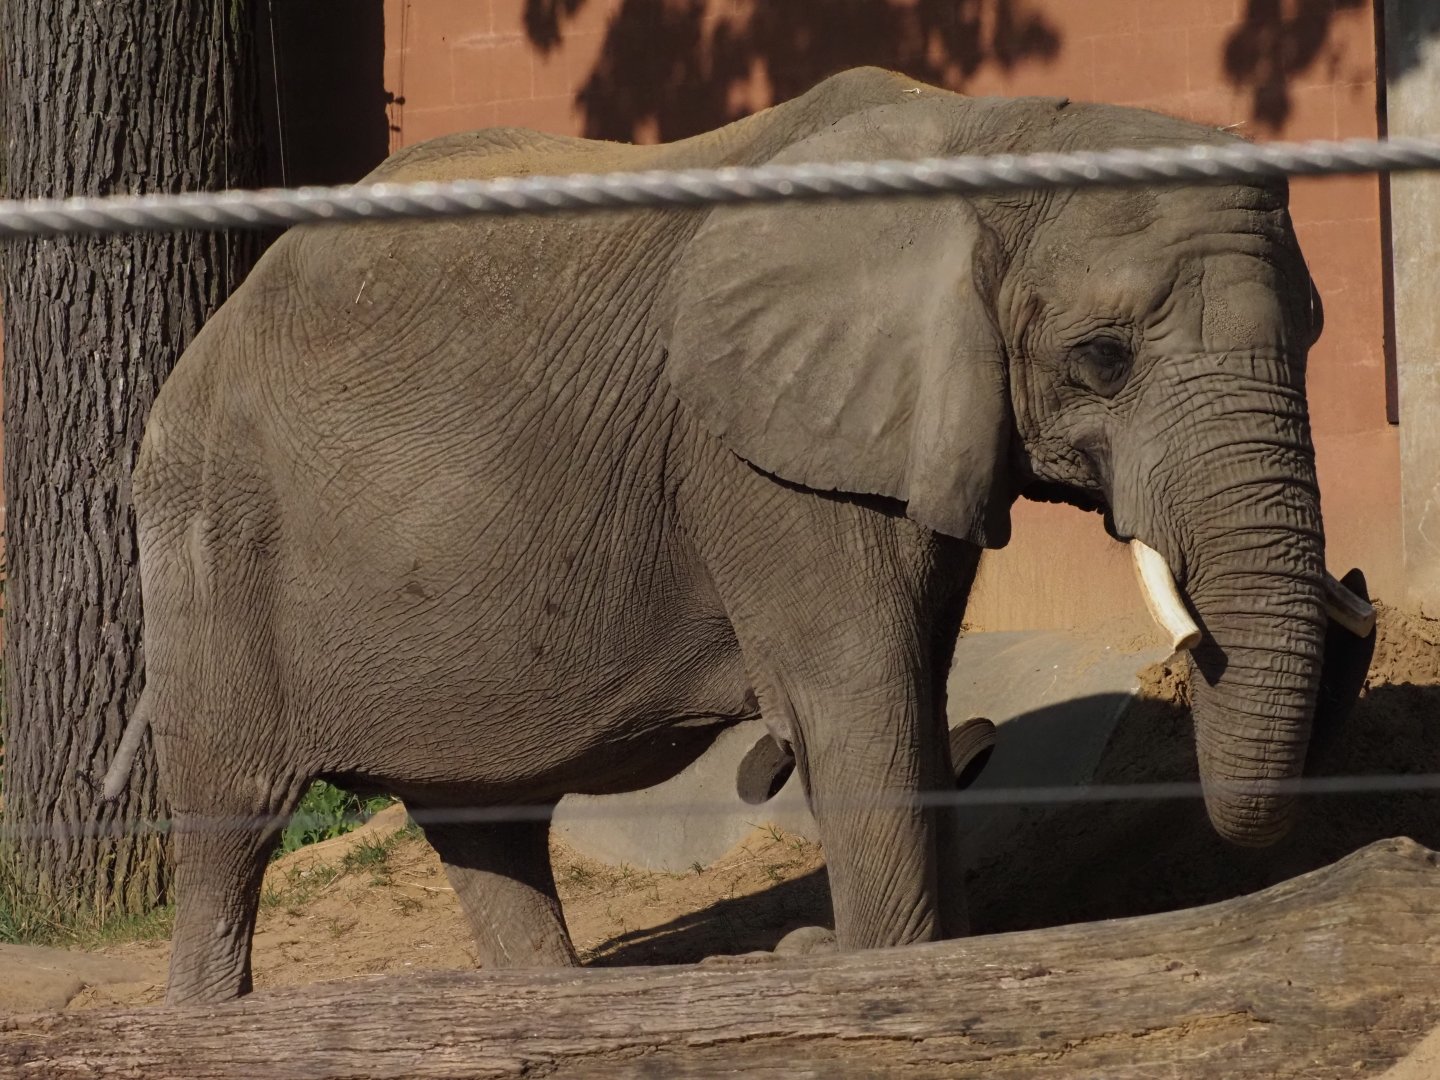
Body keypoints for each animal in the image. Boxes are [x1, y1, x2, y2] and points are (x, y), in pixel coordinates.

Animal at [103, 65, 1371, 1005]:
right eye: (1101, 359)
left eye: (1316, 333)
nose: (1359, 587)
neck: (993, 129)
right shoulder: (752, 458)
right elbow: (861, 706)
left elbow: (912, 694)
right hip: (212, 542)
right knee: (229, 825)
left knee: (486, 827)